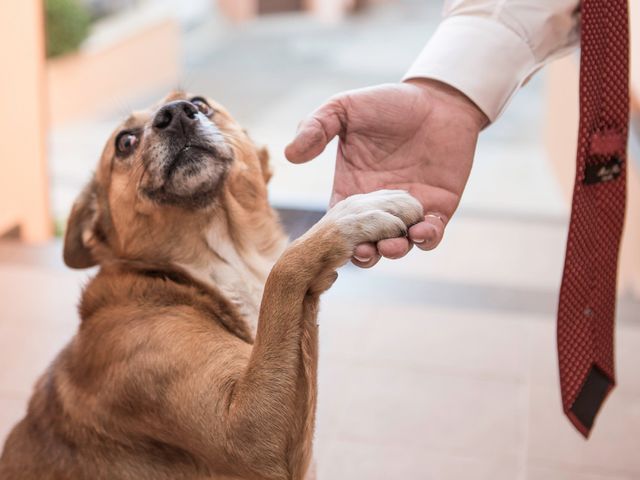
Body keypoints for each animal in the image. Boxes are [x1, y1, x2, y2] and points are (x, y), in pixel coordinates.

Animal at [0, 92, 422, 478]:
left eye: (200, 102)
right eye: (125, 141)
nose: (175, 113)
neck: (217, 261)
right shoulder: (249, 433)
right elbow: (282, 274)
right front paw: (349, 217)